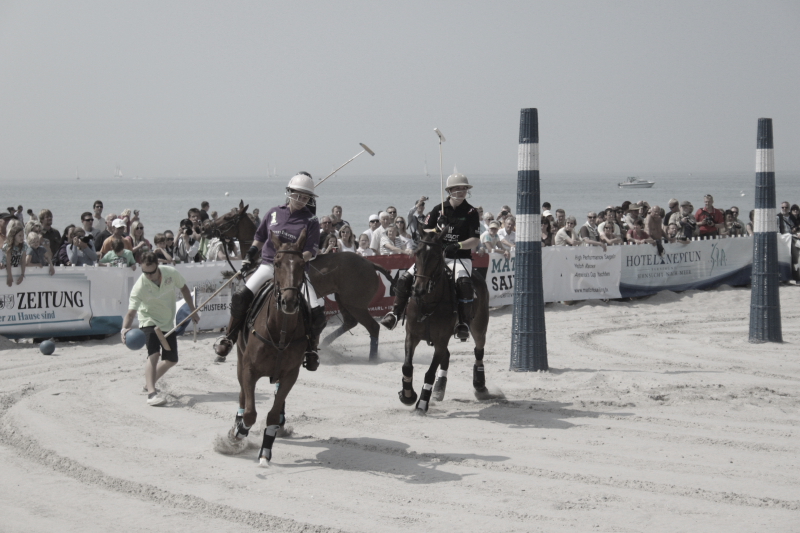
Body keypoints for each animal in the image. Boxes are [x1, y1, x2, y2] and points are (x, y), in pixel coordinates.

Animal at [206, 202, 390, 360]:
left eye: (228, 217)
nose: (205, 228)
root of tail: (371, 264)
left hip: (356, 303)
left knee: (373, 327)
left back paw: (372, 358)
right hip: (343, 299)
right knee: (350, 322)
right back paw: (324, 344)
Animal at [228, 229, 310, 466]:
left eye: (302, 263)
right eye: (277, 262)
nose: (289, 302)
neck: (280, 331)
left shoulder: (290, 374)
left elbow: (272, 414)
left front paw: (265, 451)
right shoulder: (249, 369)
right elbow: (249, 413)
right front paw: (239, 431)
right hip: (239, 356)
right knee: (241, 395)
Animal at [398, 228, 488, 412]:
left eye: (436, 256)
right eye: (416, 253)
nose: (418, 290)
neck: (428, 302)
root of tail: (477, 273)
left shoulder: (440, 340)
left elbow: (429, 373)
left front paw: (422, 403)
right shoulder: (411, 335)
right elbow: (407, 366)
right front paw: (408, 395)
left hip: (479, 326)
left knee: (479, 350)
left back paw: (480, 385)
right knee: (447, 356)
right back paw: (439, 388)